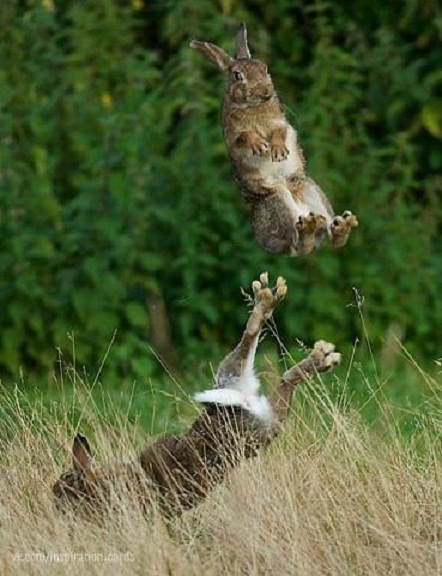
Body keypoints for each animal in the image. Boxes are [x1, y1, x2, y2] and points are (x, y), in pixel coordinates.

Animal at [52, 272, 342, 516]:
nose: (53, 501)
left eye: (62, 488)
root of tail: (243, 400)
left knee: (264, 357)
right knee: (275, 371)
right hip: (255, 410)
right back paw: (318, 353)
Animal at [192, 23, 358, 255]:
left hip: (309, 188)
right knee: (298, 244)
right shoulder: (233, 135)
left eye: (265, 68)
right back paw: (309, 228)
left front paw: (278, 151)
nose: (266, 93)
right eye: (237, 76)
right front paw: (260, 146)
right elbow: (245, 136)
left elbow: (280, 132)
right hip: (278, 199)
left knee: (330, 238)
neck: (254, 107)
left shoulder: (281, 123)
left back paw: (341, 225)